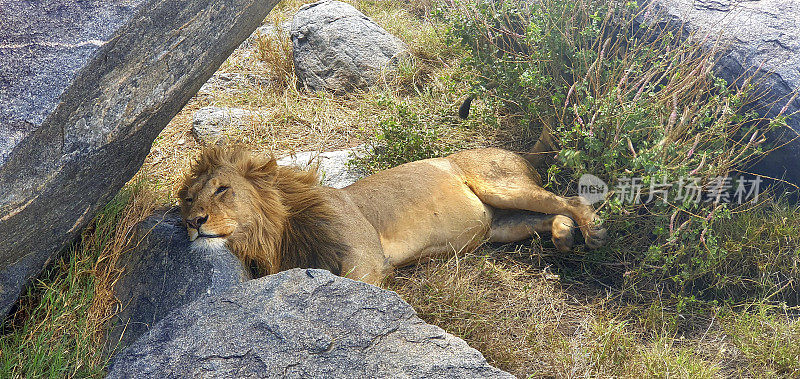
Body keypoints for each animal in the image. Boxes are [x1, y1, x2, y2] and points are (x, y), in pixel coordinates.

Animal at [180, 145, 608, 284]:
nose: (193, 223)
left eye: (221, 189)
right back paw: (563, 235)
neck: (275, 235)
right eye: (186, 199)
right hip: (499, 226)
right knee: (543, 217)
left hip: (499, 184)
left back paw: (592, 231)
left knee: (571, 199)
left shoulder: (365, 258)